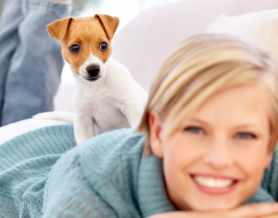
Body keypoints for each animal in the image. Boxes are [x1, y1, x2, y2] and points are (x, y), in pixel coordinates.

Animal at [35, 14, 149, 145]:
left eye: (103, 45)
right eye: (74, 47)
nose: (93, 69)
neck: (96, 88)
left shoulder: (131, 105)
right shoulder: (83, 118)